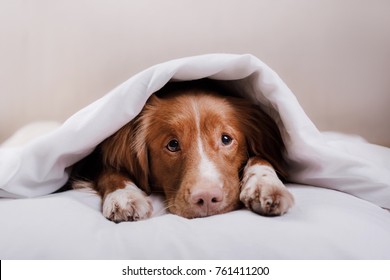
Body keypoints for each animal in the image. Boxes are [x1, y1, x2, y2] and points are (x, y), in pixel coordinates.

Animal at [71, 80, 294, 222]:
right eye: (172, 144)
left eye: (226, 139)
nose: (206, 198)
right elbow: (109, 171)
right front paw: (125, 195)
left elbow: (261, 158)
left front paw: (265, 185)